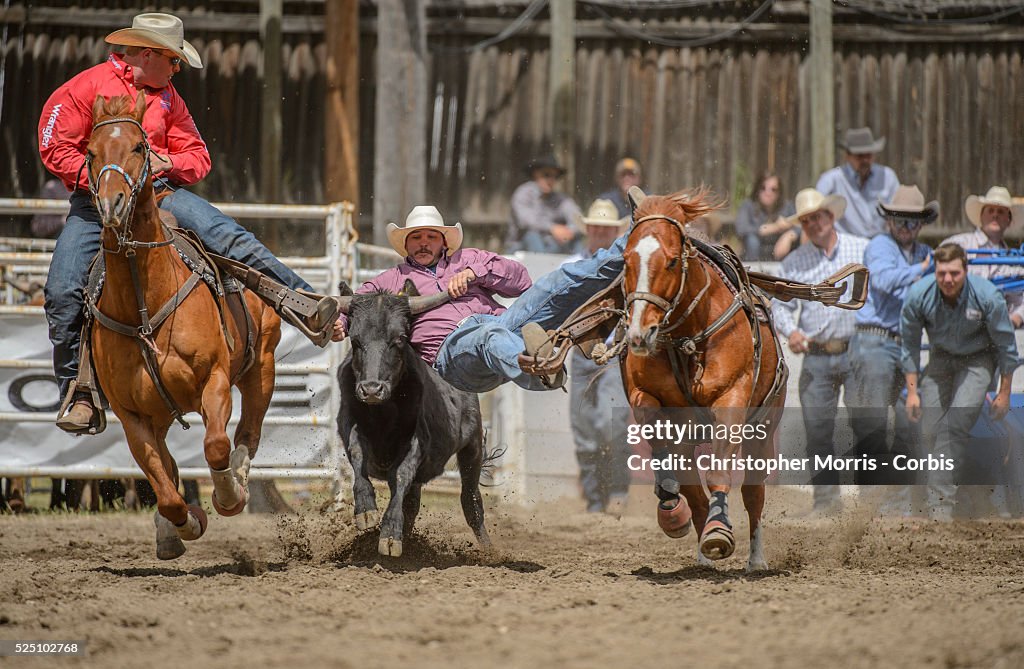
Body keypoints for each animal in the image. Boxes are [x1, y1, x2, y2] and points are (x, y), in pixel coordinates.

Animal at [85, 91, 280, 557]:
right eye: (90, 152)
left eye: (140, 147)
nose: (113, 205)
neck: (144, 305)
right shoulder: (132, 415)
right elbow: (166, 488)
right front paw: (182, 524)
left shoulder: (215, 380)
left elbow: (215, 446)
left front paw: (228, 496)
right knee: (171, 468)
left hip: (262, 366)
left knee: (248, 431)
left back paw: (240, 480)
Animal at [618, 186, 786, 569]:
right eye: (626, 261)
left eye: (669, 261)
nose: (638, 335)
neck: (688, 337)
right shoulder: (643, 395)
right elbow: (657, 435)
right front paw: (668, 499)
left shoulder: (732, 398)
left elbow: (720, 472)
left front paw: (719, 531)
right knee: (693, 492)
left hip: (764, 427)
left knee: (753, 491)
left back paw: (755, 558)